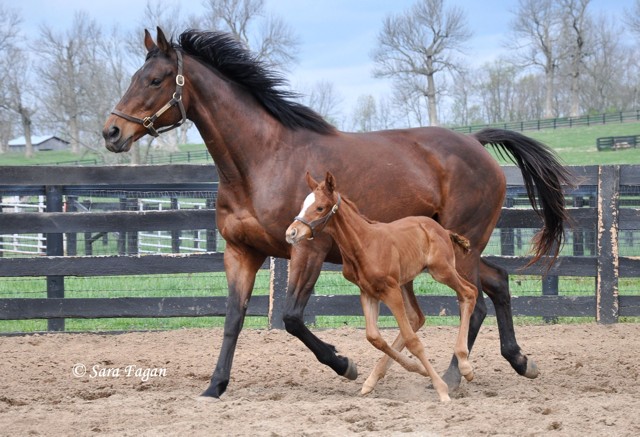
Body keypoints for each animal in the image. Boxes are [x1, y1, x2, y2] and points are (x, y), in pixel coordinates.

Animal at [286, 172, 478, 402]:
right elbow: (374, 337)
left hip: (441, 270)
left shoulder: (390, 291)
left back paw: (465, 365)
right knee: (417, 317)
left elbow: (412, 341)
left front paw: (441, 389)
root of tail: (441, 229)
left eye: (320, 207)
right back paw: (373, 380)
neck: (364, 243)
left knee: (469, 292)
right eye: (303, 205)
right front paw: (417, 369)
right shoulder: (367, 292)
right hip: (407, 281)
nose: (291, 233)